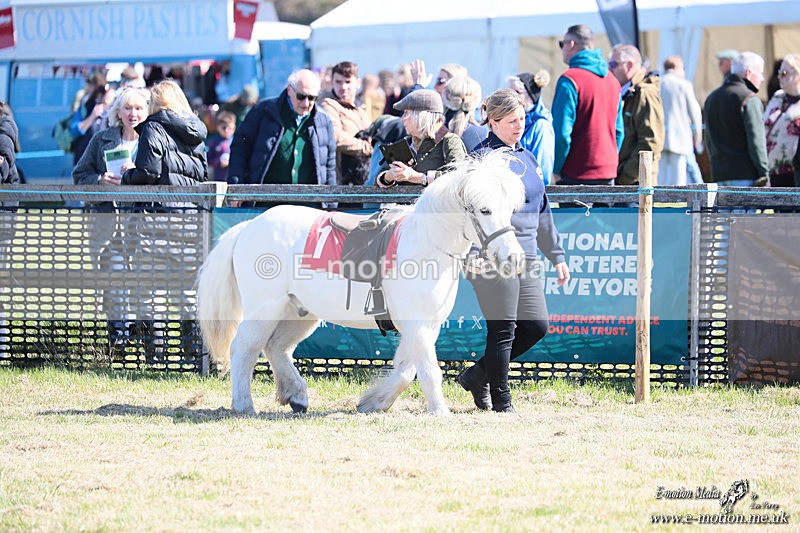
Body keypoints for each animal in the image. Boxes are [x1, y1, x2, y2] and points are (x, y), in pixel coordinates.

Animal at [196, 150, 526, 416]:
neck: (425, 247)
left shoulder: (424, 327)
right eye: (484, 210)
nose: (514, 257)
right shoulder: (417, 325)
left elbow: (406, 371)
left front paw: (373, 401)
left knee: (277, 348)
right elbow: (428, 371)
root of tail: (248, 226)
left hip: (299, 312)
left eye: (510, 210)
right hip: (264, 309)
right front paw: (439, 411)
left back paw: (297, 396)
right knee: (244, 349)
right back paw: (244, 404)